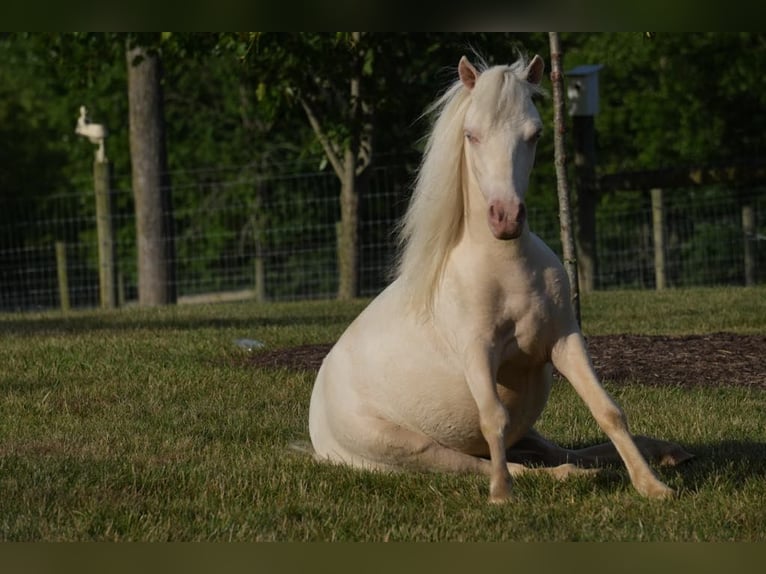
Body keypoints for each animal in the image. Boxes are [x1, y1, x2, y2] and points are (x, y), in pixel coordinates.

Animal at [308, 55, 696, 504]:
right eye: (471, 135)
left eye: (535, 133)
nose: (506, 217)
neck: (505, 268)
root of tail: (317, 416)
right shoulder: (478, 353)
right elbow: (493, 418)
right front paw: (501, 496)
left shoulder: (565, 340)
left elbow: (608, 410)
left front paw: (652, 486)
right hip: (412, 449)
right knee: (490, 462)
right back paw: (561, 477)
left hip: (525, 429)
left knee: (547, 448)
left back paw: (661, 453)